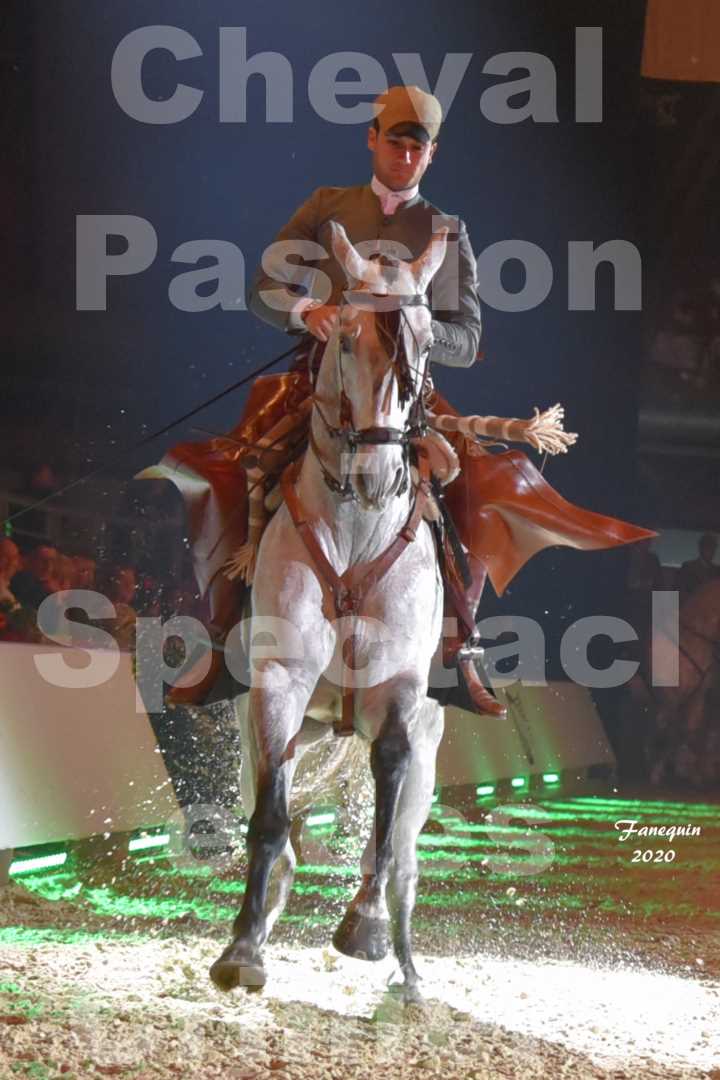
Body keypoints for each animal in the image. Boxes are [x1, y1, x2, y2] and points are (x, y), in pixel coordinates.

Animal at [208, 221, 453, 1002]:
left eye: (427, 342)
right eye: (343, 340)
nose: (378, 473)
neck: (357, 531)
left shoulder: (401, 695)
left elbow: (386, 809)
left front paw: (367, 930)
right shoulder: (279, 684)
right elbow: (270, 820)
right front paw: (242, 951)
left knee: (402, 849)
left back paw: (404, 967)